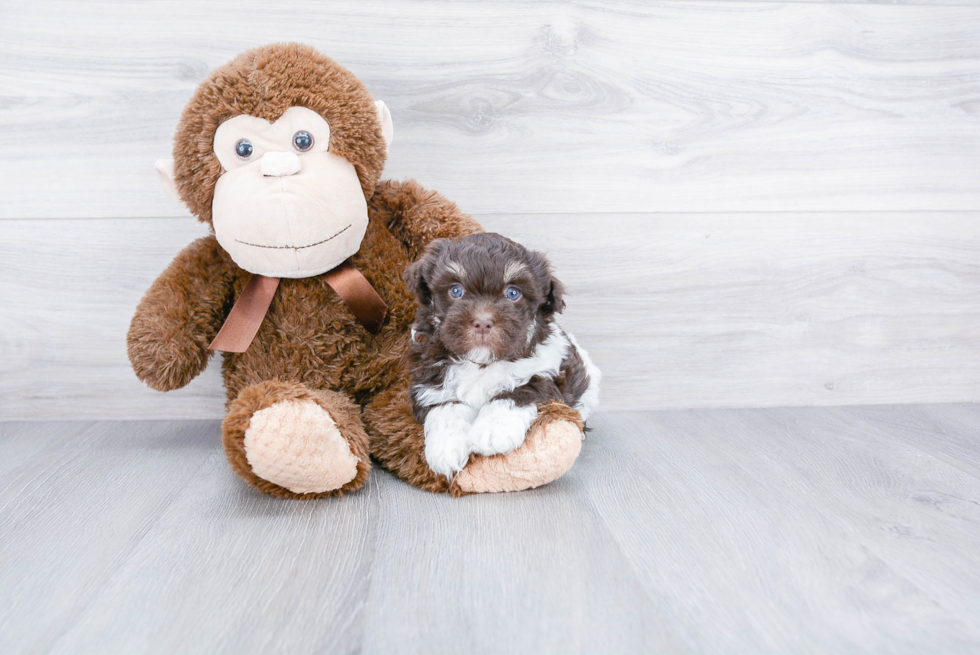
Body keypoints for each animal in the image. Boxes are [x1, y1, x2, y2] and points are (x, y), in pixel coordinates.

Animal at [402, 233, 600, 480]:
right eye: (456, 291)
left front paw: (492, 431)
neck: (482, 363)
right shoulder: (429, 380)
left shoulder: (545, 374)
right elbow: (445, 407)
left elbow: (517, 392)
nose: (483, 321)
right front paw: (445, 449)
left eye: (513, 293)